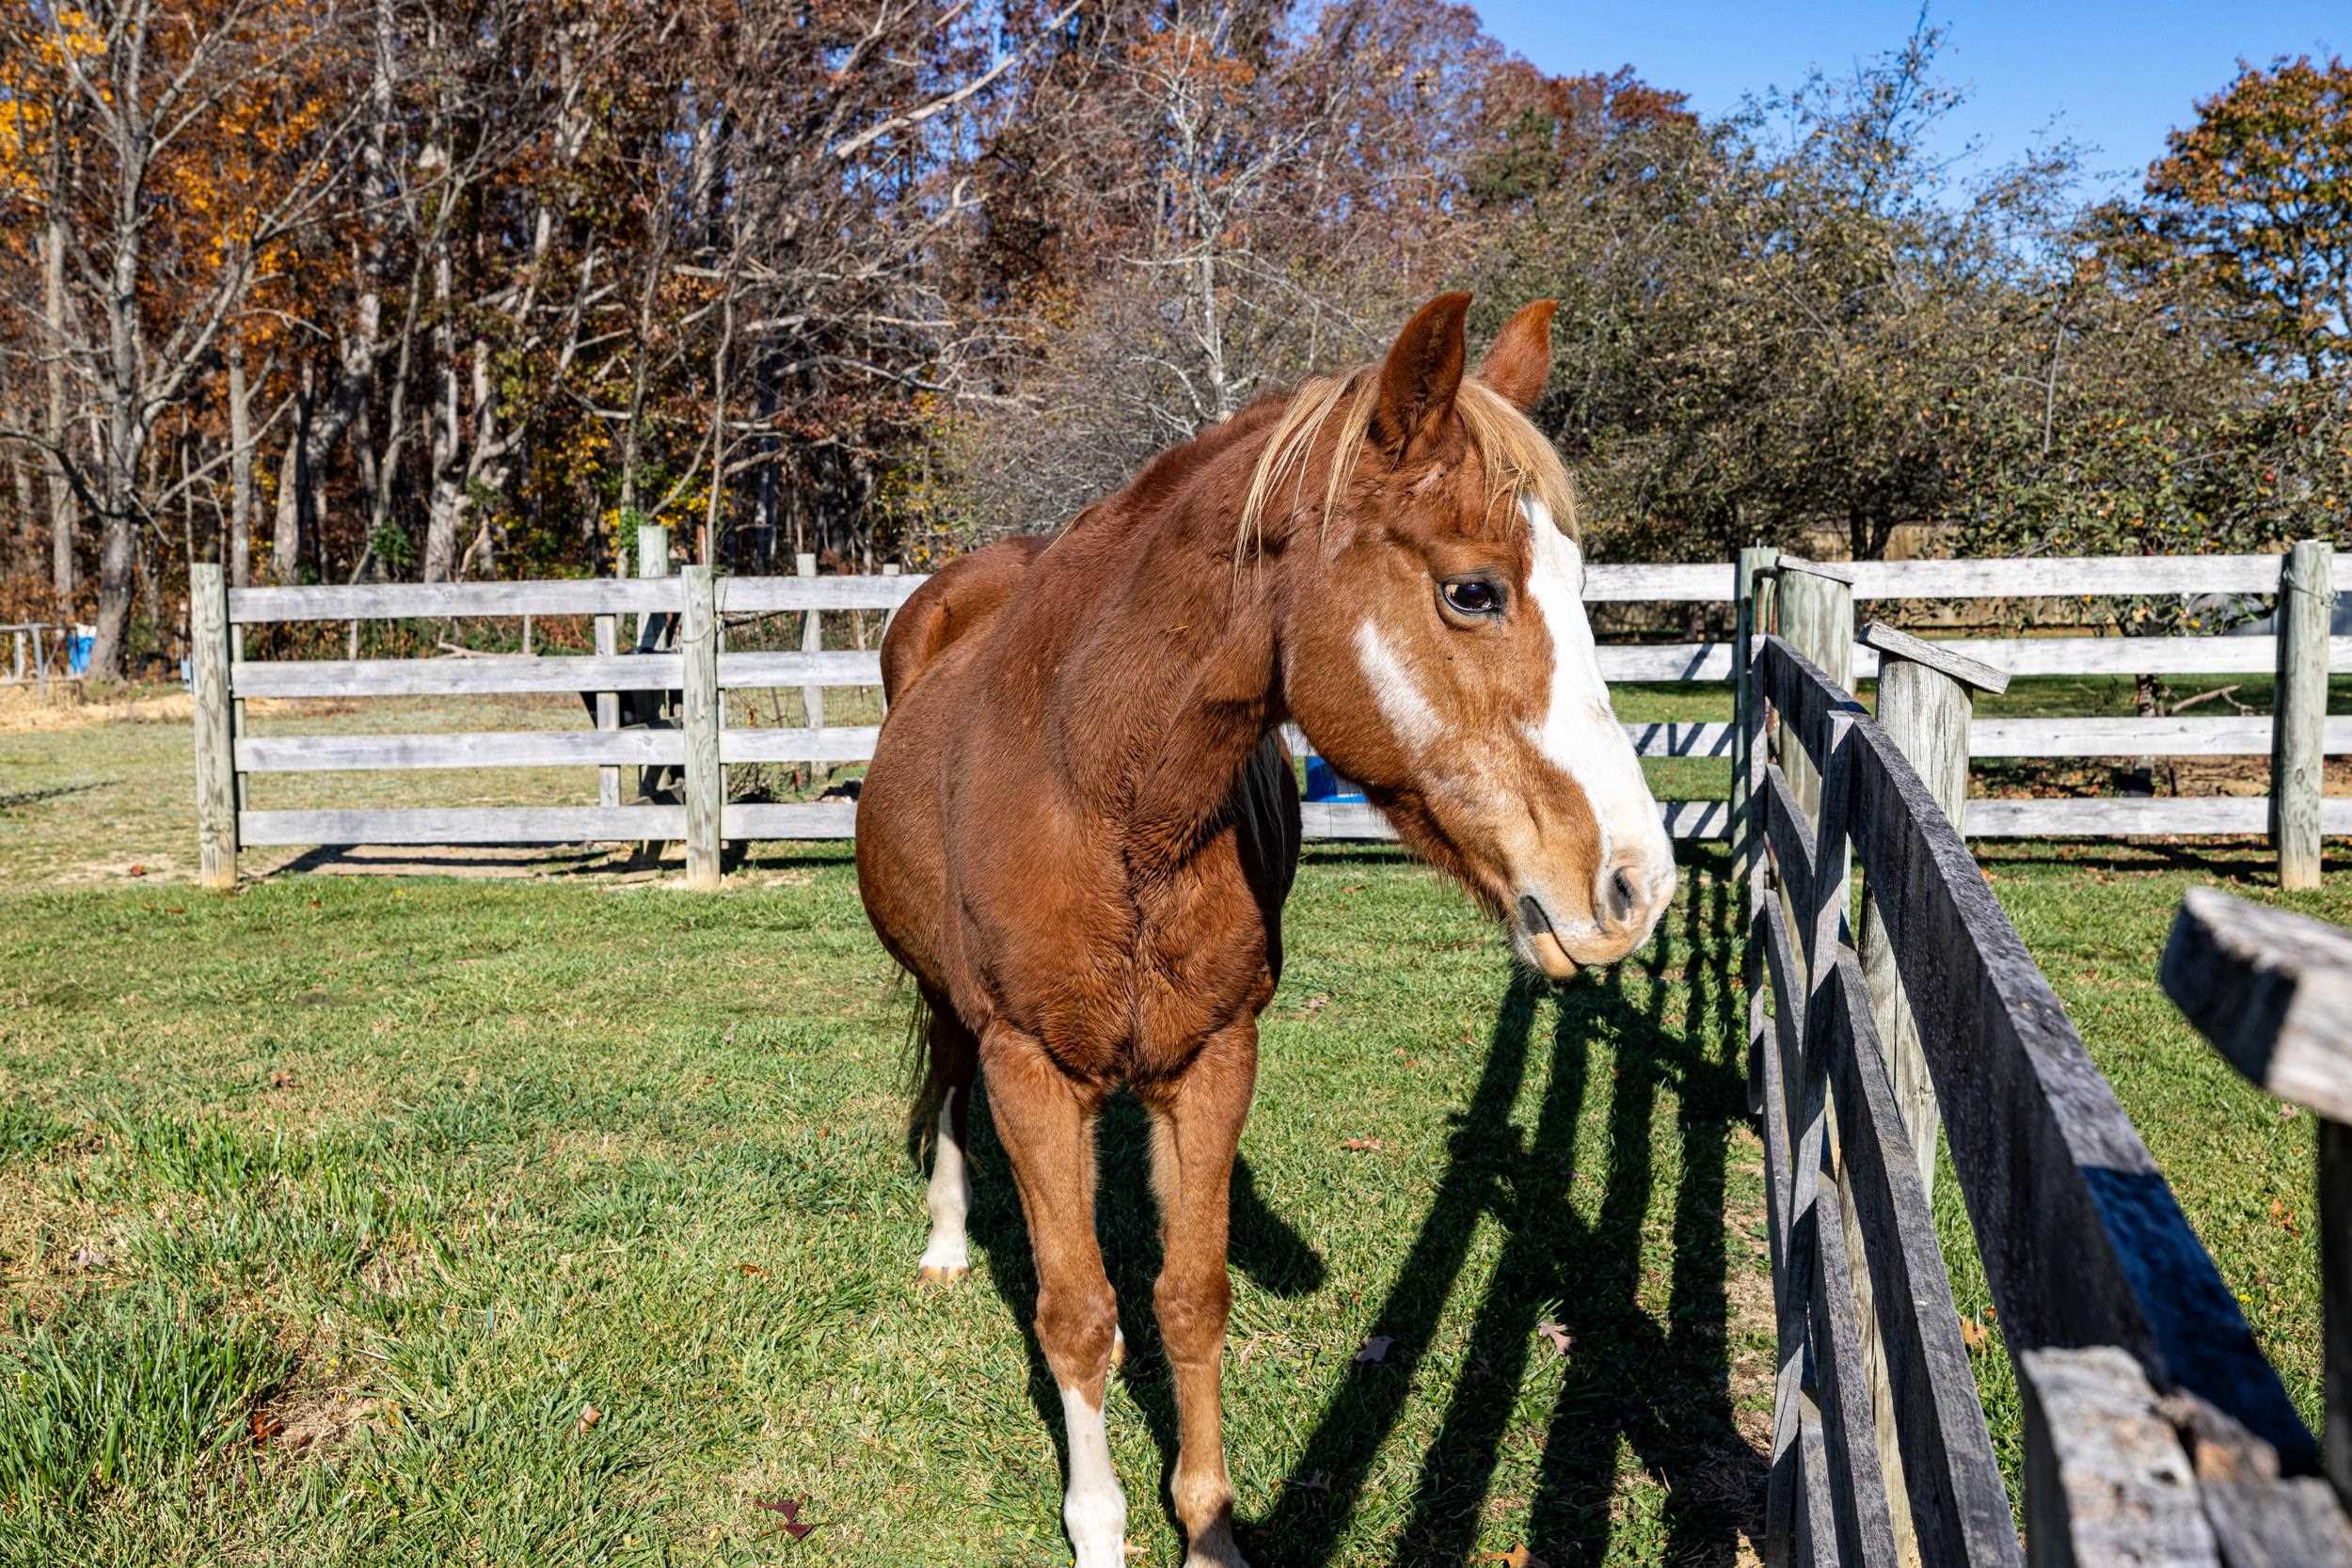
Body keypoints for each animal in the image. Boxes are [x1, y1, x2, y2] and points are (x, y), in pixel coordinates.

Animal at [856, 297, 1684, 1568]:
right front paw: (1099, 1528)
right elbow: (1077, 1313)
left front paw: (1208, 1524)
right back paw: (947, 1240)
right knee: (947, 1081)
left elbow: (1189, 1294)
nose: (1636, 884)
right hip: (958, 1007)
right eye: (1473, 591)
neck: (1102, 794)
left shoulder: (1214, 1058)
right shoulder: (1031, 1068)